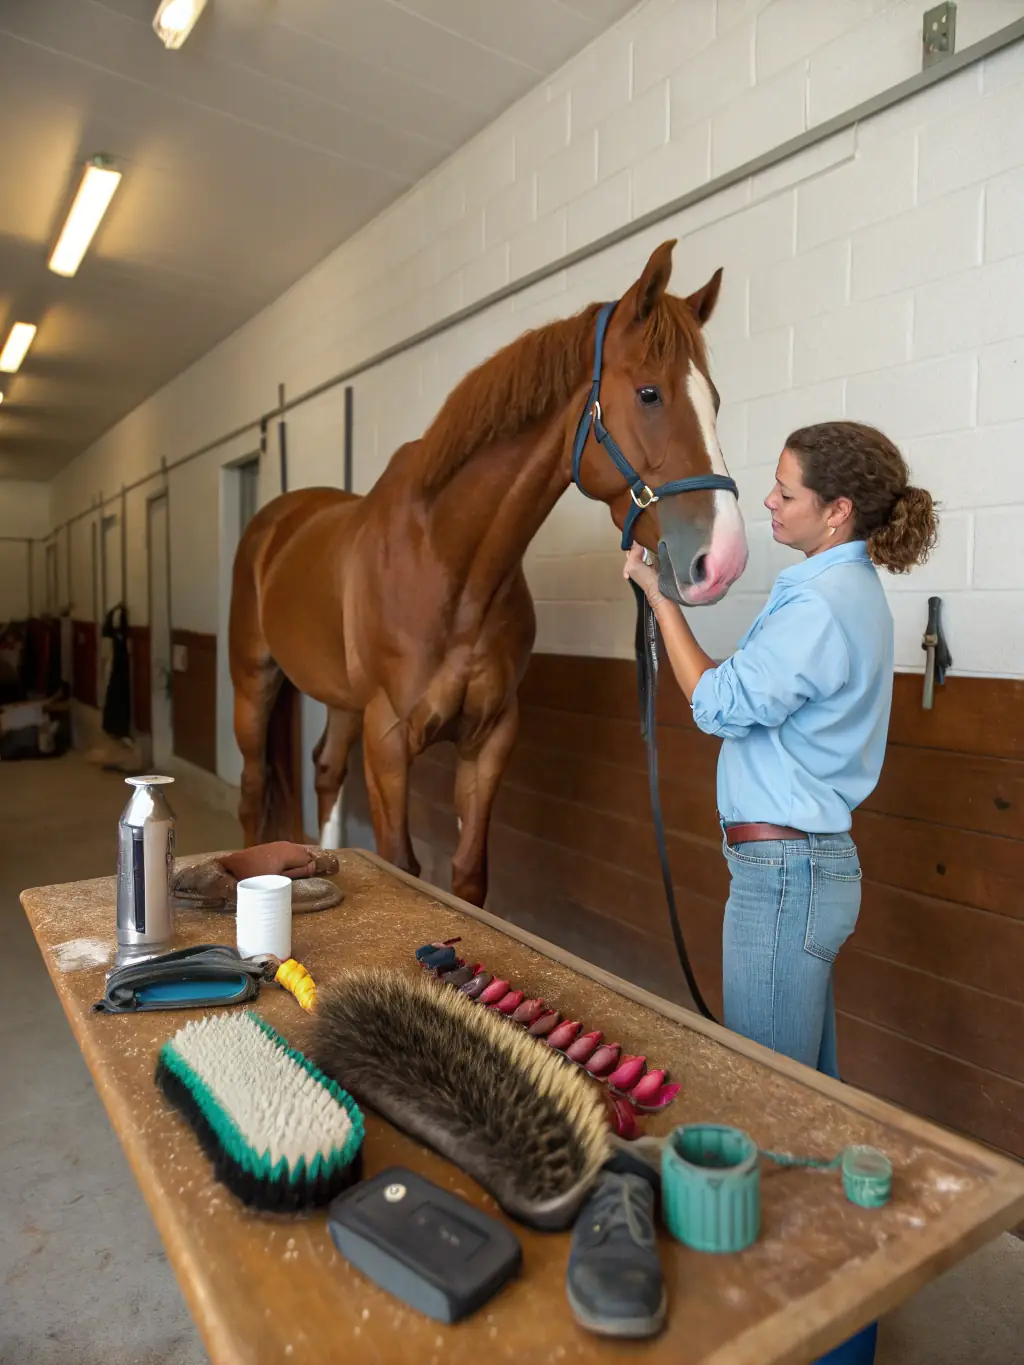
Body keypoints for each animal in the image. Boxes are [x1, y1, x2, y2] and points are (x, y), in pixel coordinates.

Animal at [228, 239, 748, 907]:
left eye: (714, 401)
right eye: (650, 394)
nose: (724, 558)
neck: (451, 565)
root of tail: (276, 521)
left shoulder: (491, 737)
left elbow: (469, 874)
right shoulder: (388, 737)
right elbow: (401, 863)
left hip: (342, 704)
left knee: (323, 769)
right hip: (254, 685)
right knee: (251, 789)